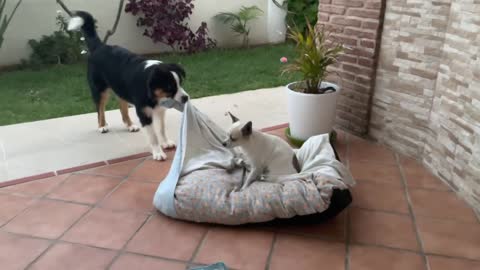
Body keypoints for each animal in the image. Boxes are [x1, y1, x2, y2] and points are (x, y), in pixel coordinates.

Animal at [67, 11, 188, 160]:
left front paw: (166, 143)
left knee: (122, 107)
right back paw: (102, 126)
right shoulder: (143, 112)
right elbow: (153, 135)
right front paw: (158, 153)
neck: (152, 92)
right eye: (170, 88)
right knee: (100, 108)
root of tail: (100, 46)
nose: (186, 98)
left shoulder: (160, 110)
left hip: (121, 89)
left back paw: (130, 125)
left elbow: (161, 129)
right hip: (100, 90)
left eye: (180, 83)